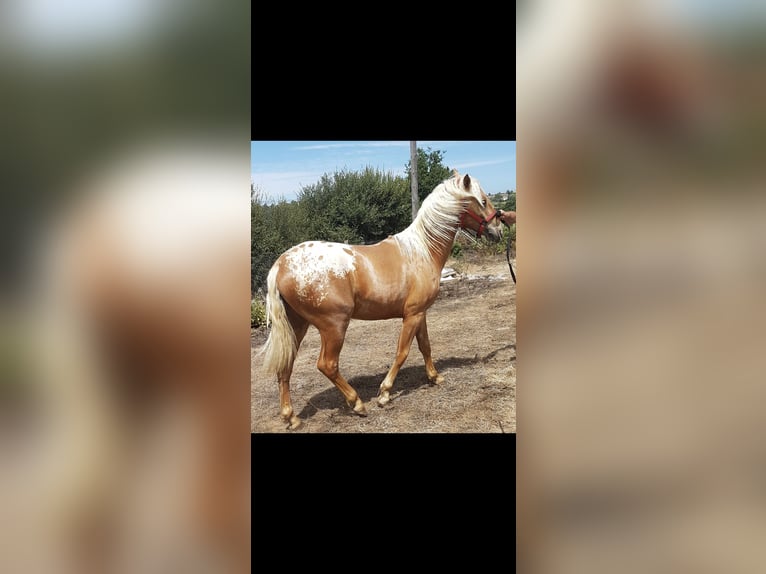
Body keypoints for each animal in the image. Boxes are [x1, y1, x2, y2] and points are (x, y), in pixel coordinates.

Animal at [260, 173, 508, 430]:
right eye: (482, 201)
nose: (498, 230)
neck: (423, 250)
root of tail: (281, 265)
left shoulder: (420, 313)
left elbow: (425, 346)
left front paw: (435, 377)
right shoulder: (412, 315)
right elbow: (403, 352)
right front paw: (385, 393)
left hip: (297, 326)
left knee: (285, 367)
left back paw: (292, 417)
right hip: (334, 327)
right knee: (327, 365)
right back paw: (357, 403)